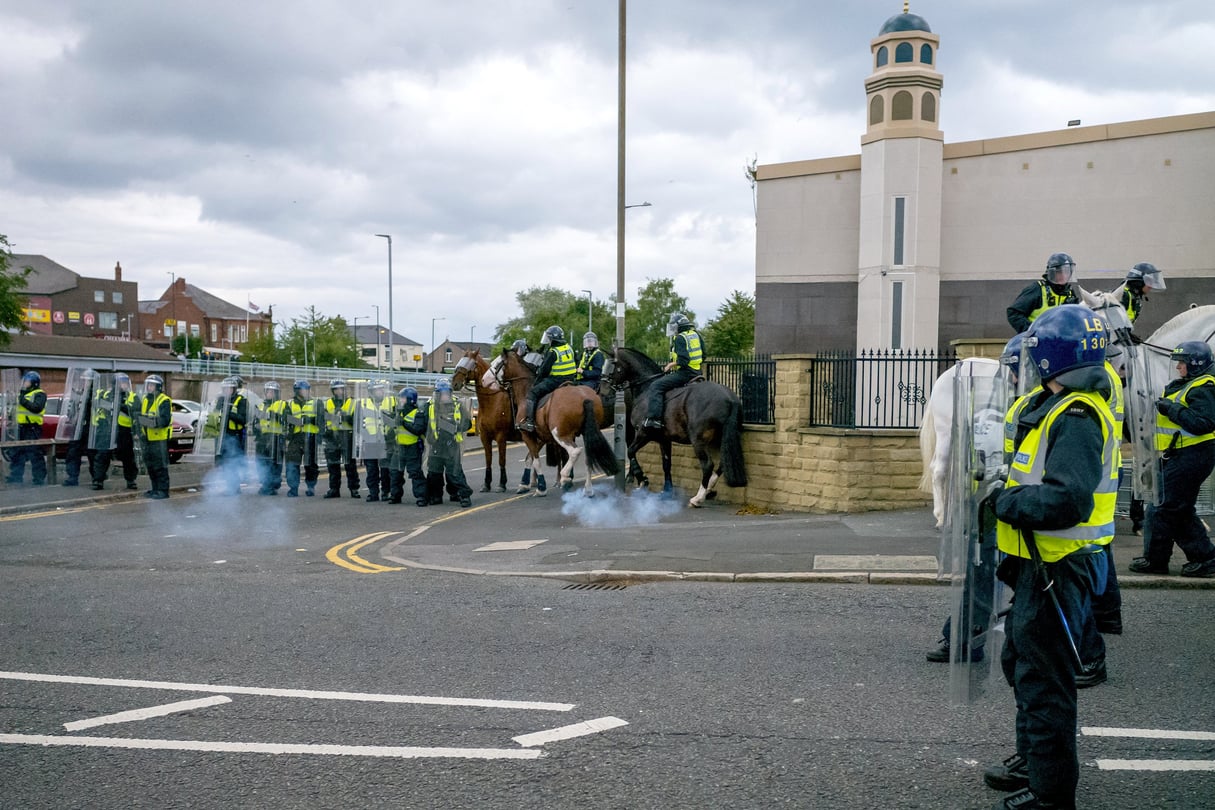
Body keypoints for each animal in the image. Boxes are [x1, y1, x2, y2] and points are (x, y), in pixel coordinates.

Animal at [449, 349, 520, 495]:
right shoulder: (485, 437)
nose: (454, 383)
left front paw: (501, 484)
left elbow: (501, 460)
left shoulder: (501, 437)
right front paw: (486, 484)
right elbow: (488, 460)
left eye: (472, 363)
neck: (492, 401)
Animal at [500, 347, 622, 495]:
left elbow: (538, 459)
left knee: (575, 452)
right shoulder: (543, 436)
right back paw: (585, 488)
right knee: (587, 456)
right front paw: (527, 484)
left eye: (501, 363)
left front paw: (544, 486)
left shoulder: (531, 435)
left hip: (560, 434)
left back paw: (564, 478)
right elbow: (532, 457)